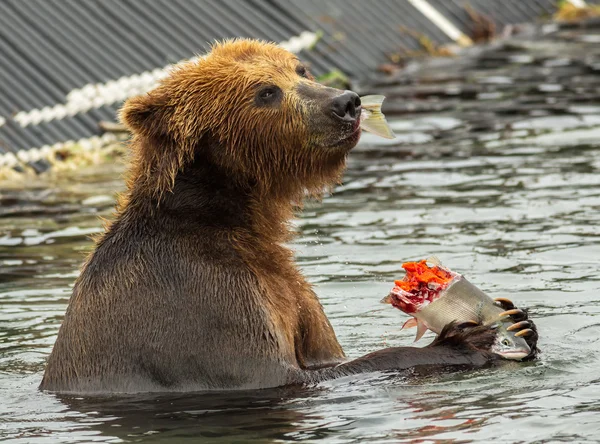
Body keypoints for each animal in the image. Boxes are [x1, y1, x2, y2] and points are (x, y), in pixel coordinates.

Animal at [38, 38, 540, 392]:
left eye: (300, 68)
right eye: (266, 91)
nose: (347, 101)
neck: (235, 219)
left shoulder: (285, 286)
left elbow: (321, 352)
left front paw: (518, 317)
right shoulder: (199, 298)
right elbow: (283, 374)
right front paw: (463, 339)